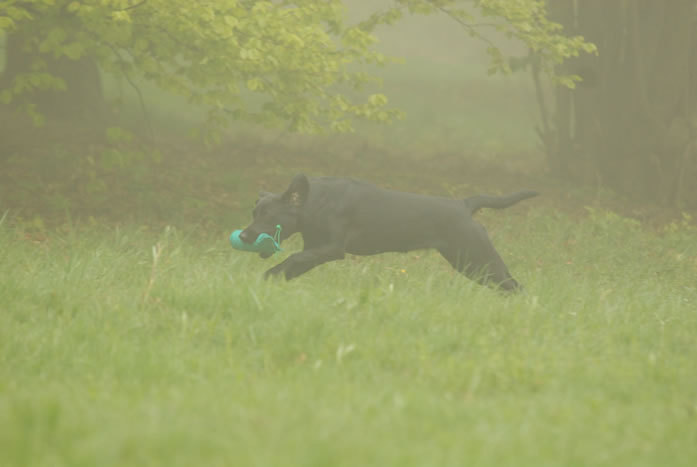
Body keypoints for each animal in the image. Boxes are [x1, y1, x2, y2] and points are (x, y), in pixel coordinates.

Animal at [239, 174, 537, 291]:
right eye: (254, 213)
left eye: (268, 216)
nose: (243, 236)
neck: (315, 202)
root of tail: (464, 205)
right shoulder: (314, 250)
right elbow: (293, 265)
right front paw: (269, 280)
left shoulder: (331, 248)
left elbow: (290, 259)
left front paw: (268, 275)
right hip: (470, 263)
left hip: (477, 257)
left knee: (515, 286)